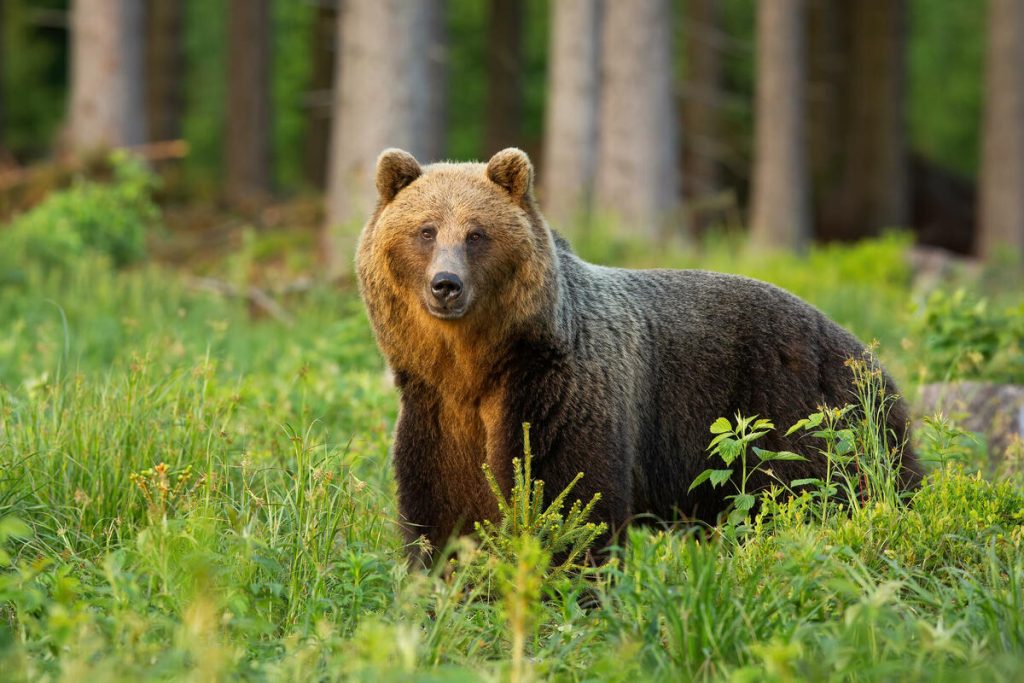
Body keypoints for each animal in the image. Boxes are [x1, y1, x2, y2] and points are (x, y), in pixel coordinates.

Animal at [356, 147, 923, 565]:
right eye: (426, 230)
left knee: (833, 490)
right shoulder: (436, 408)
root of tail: (867, 356)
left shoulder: (559, 392)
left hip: (801, 414)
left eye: (477, 233)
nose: (445, 285)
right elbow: (441, 505)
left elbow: (569, 495)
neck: (477, 366)